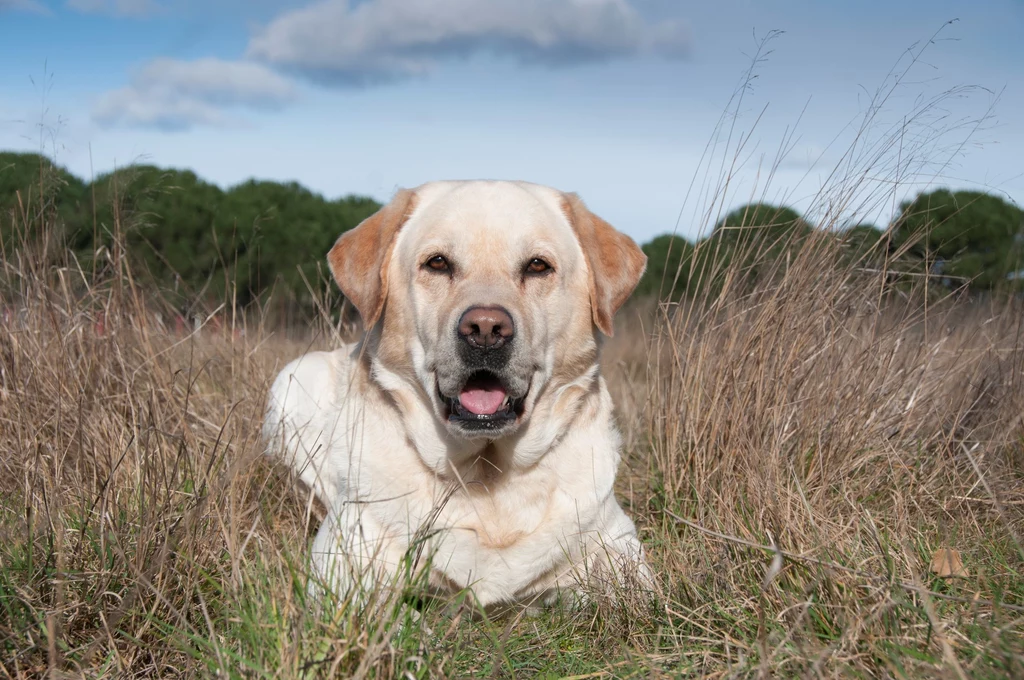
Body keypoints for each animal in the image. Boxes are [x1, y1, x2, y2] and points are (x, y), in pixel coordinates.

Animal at [264, 180, 647, 610]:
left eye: (537, 266)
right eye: (437, 263)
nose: (485, 329)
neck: (486, 475)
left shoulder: (621, 545)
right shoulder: (340, 567)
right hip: (294, 376)